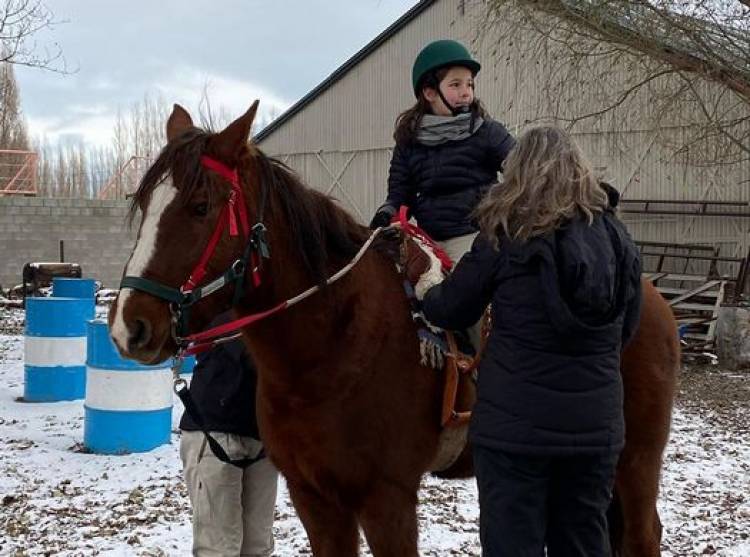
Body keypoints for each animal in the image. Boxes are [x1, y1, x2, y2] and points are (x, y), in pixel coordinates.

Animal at [110, 102, 680, 552]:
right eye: (144, 205)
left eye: (200, 206)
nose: (128, 327)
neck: (333, 345)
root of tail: (655, 296)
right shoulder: (314, 496)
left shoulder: (387, 498)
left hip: (635, 460)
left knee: (643, 534)